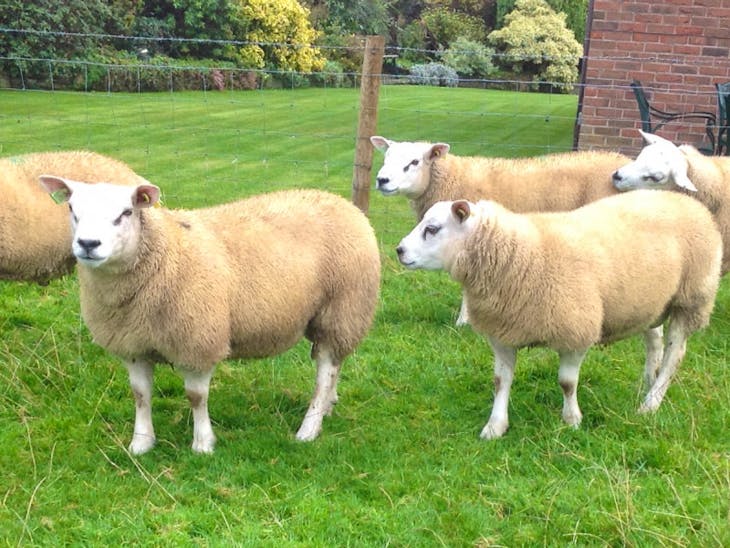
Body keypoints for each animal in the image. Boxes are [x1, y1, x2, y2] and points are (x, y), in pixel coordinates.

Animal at [38, 176, 381, 455]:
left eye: (126, 213)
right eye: (72, 209)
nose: (88, 244)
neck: (165, 253)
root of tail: (345, 204)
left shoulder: (198, 342)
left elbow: (195, 397)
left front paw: (203, 444)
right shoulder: (133, 345)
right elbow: (140, 395)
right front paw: (141, 443)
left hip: (343, 309)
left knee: (325, 371)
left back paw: (309, 428)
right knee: (335, 365)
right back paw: (328, 407)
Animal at [395, 190, 722, 439]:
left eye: (432, 229)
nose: (399, 250)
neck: (521, 256)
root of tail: (688, 201)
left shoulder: (576, 331)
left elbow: (567, 382)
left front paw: (571, 420)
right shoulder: (503, 333)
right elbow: (501, 381)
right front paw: (495, 426)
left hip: (691, 299)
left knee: (674, 354)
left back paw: (651, 403)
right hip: (648, 301)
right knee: (654, 341)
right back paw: (647, 382)